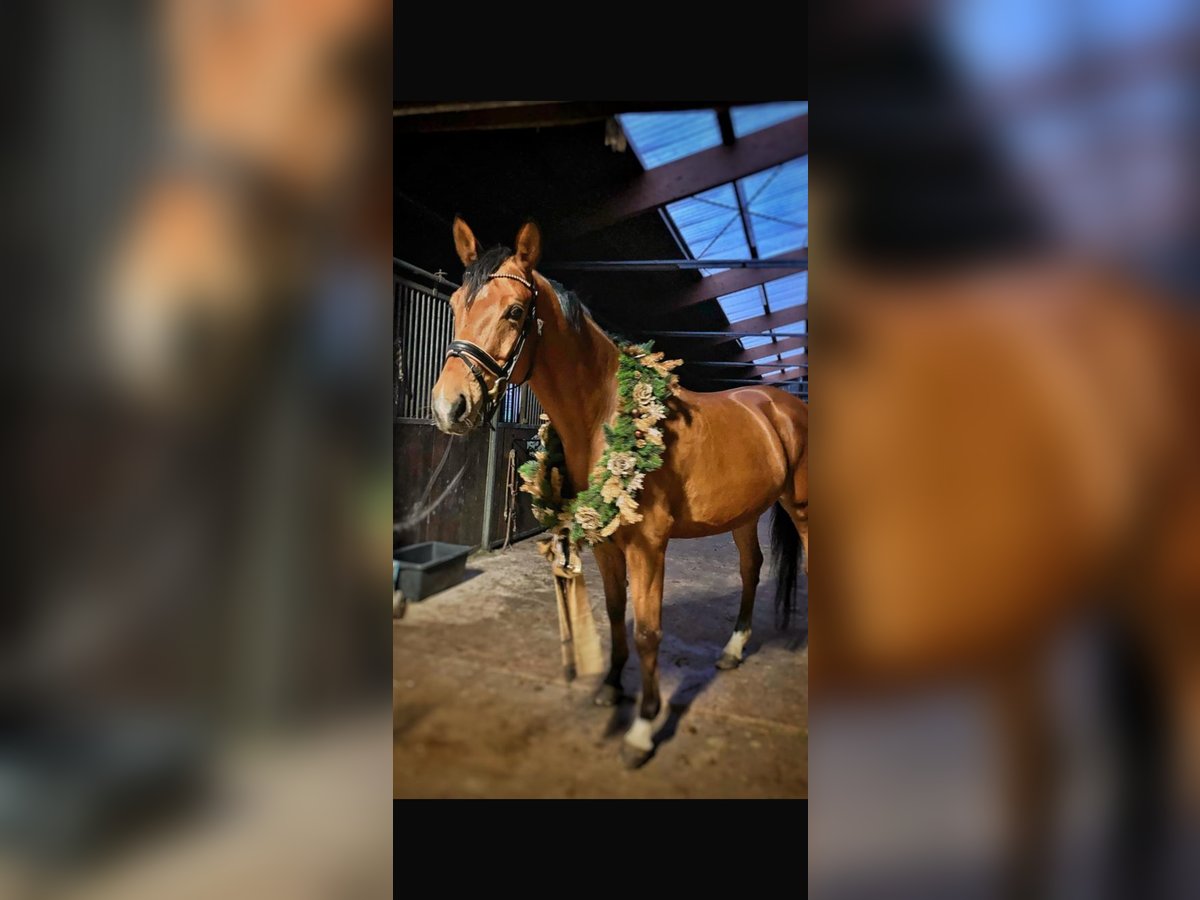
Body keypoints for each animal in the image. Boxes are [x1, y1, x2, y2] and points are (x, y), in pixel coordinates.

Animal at [430, 217, 809, 768]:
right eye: (457, 304)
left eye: (515, 311)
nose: (448, 407)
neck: (605, 415)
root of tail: (783, 404)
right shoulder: (607, 545)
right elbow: (614, 616)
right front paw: (610, 688)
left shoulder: (649, 549)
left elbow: (648, 630)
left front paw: (644, 729)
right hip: (743, 514)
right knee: (751, 568)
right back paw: (733, 651)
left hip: (801, 507)